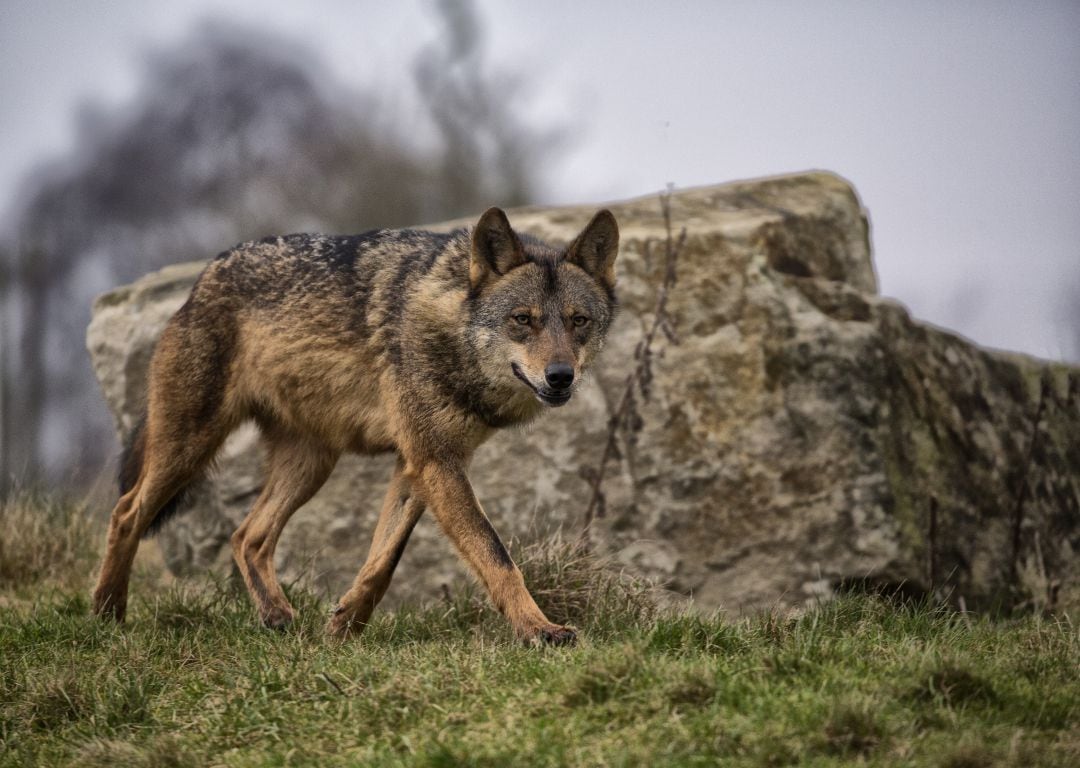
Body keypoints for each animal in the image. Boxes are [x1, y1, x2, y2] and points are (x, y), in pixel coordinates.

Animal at [91, 207, 617, 643]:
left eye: (578, 321)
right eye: (522, 319)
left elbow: (382, 562)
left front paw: (344, 626)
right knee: (126, 512)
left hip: (310, 466)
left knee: (247, 537)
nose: (561, 376)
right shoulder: (436, 462)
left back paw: (278, 618)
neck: (448, 326)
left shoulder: (418, 466)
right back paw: (107, 615)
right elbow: (496, 557)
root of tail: (203, 277)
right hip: (190, 447)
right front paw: (539, 630)